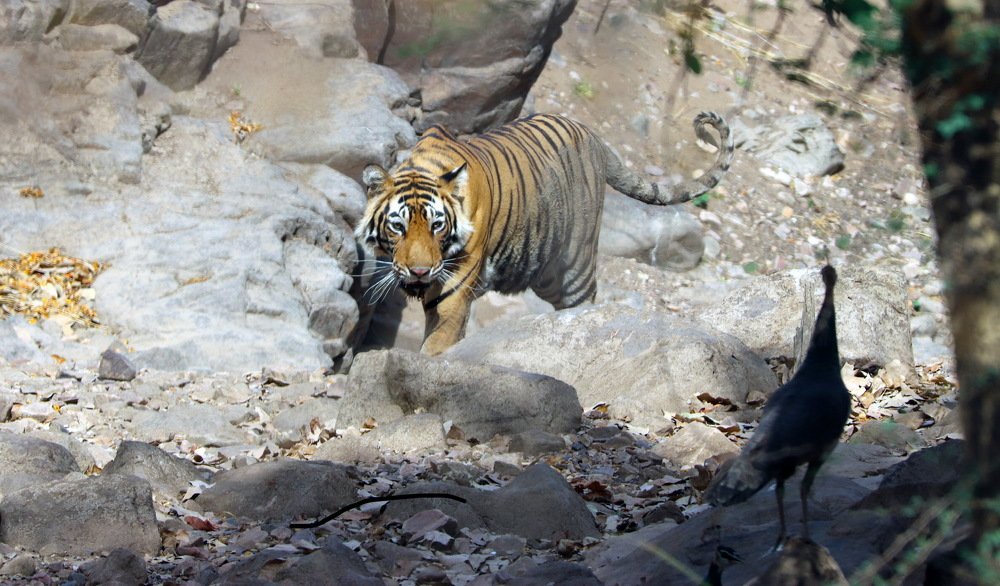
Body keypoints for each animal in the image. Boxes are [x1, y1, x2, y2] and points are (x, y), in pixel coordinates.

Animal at [356, 111, 734, 355]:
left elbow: (434, 348)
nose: (420, 272)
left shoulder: (451, 297)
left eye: (438, 226)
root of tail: (594, 138)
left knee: (583, 302)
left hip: (570, 267)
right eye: (398, 226)